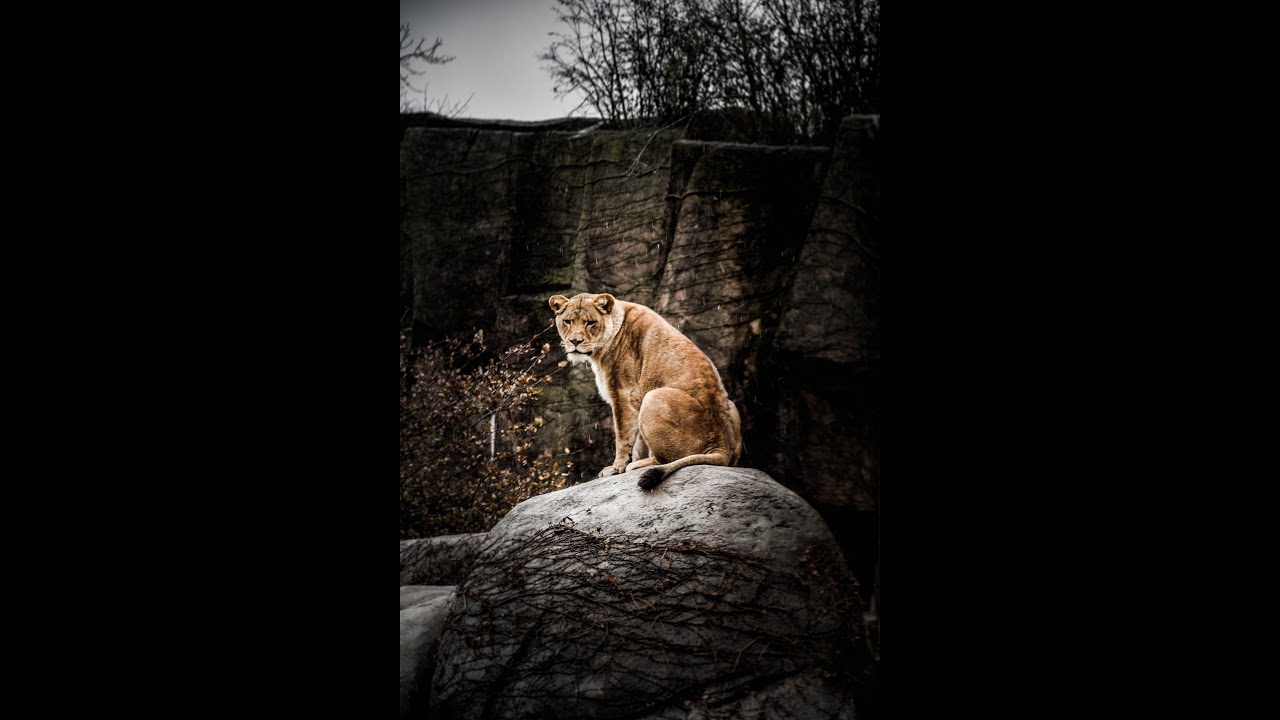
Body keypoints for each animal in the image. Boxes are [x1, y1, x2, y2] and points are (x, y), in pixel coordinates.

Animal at [548, 292, 743, 489]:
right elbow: (638, 443)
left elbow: (623, 436)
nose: (575, 341)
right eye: (567, 321)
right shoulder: (635, 399)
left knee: (667, 459)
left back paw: (637, 466)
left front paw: (616, 468)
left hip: (653, 396)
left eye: (590, 323)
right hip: (731, 406)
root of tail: (722, 444)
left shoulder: (623, 393)